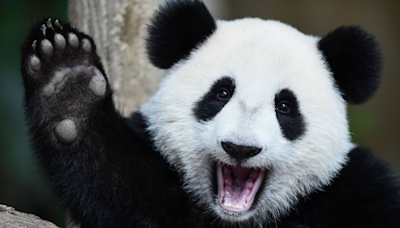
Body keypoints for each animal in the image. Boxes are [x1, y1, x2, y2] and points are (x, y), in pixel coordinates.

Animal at [21, 0, 400, 228]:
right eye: (221, 93)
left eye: (284, 106)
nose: (241, 148)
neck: (235, 220)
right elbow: (115, 182)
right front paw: (68, 82)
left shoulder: (354, 191)